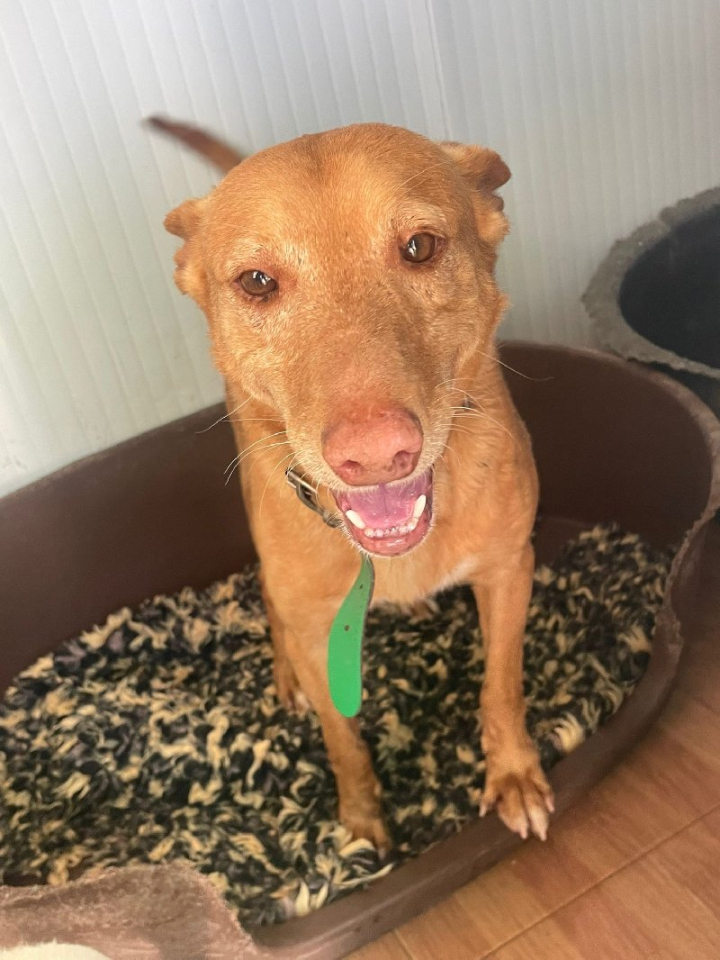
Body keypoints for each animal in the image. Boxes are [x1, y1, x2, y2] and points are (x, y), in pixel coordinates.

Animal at [151, 116, 554, 850]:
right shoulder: (317, 632)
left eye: (421, 246)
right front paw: (363, 824)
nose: (375, 454)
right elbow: (342, 739)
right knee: (269, 603)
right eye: (257, 281)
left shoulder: (511, 568)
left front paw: (512, 775)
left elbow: (501, 688)